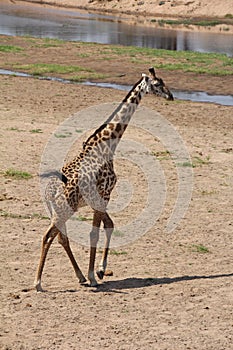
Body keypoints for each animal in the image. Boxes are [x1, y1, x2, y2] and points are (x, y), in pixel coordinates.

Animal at [34, 67, 173, 292]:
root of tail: (49, 192)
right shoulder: (105, 194)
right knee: (48, 236)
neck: (107, 144)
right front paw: (94, 275)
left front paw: (99, 271)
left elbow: (109, 225)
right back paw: (38, 282)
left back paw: (79, 276)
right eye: (157, 84)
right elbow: (96, 233)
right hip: (65, 210)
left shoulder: (98, 200)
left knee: (61, 238)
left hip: (57, 210)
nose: (171, 96)